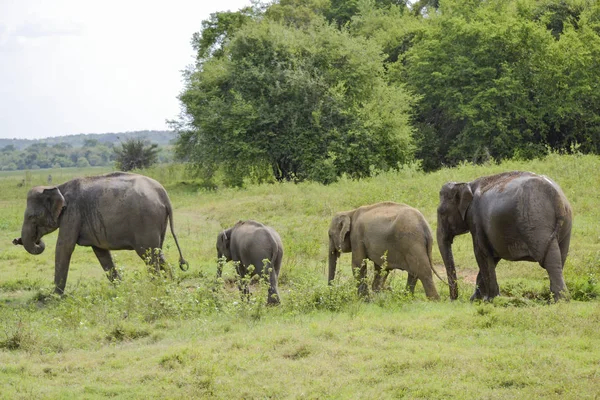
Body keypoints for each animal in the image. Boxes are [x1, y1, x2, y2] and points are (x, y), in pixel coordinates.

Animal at [13, 170, 188, 292]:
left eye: (32, 217)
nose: (16, 240)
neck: (57, 187)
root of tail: (163, 194)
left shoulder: (72, 213)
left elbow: (64, 247)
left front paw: (54, 296)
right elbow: (101, 252)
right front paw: (120, 289)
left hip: (146, 220)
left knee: (148, 254)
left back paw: (155, 287)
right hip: (157, 222)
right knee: (157, 252)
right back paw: (169, 284)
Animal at [438, 170, 576, 302]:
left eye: (441, 212)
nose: (453, 300)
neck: (467, 184)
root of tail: (558, 199)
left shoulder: (475, 219)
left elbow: (481, 253)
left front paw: (490, 299)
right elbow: (492, 257)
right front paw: (476, 300)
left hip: (537, 223)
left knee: (550, 260)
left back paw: (559, 300)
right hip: (566, 225)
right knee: (560, 257)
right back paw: (558, 299)